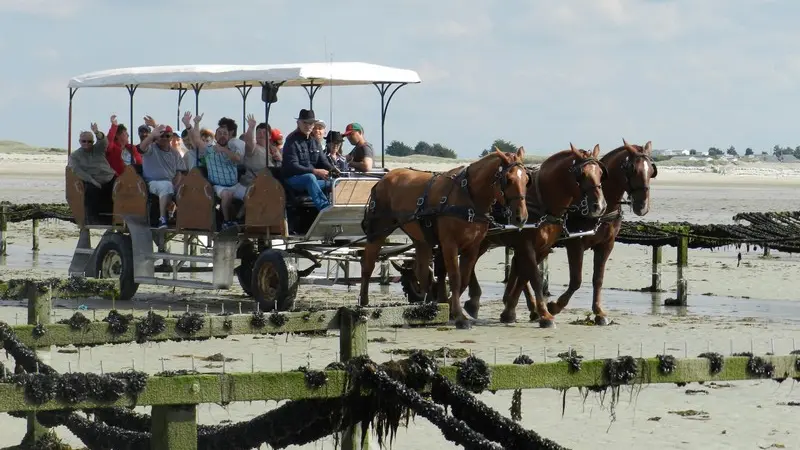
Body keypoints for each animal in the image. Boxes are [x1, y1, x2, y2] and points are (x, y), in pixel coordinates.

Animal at [362, 148, 532, 326]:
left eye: (527, 179)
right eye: (508, 179)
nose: (521, 217)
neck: (468, 196)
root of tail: (383, 179)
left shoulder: (473, 246)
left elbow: (464, 278)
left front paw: (450, 308)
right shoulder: (449, 244)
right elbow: (455, 277)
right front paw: (459, 316)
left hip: (421, 239)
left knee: (422, 271)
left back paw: (428, 304)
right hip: (378, 231)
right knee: (368, 264)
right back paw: (364, 301)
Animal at [456, 144, 608, 326]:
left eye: (600, 172)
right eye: (582, 174)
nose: (600, 206)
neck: (542, 202)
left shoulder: (543, 247)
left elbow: (524, 276)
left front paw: (510, 311)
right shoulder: (526, 244)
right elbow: (534, 277)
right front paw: (544, 314)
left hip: (483, 241)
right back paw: (472, 300)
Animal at [524, 139, 656, 326]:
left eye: (651, 171)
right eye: (632, 169)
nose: (642, 206)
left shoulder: (606, 244)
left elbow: (598, 279)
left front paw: (599, 312)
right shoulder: (575, 243)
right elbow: (576, 280)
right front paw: (555, 306)